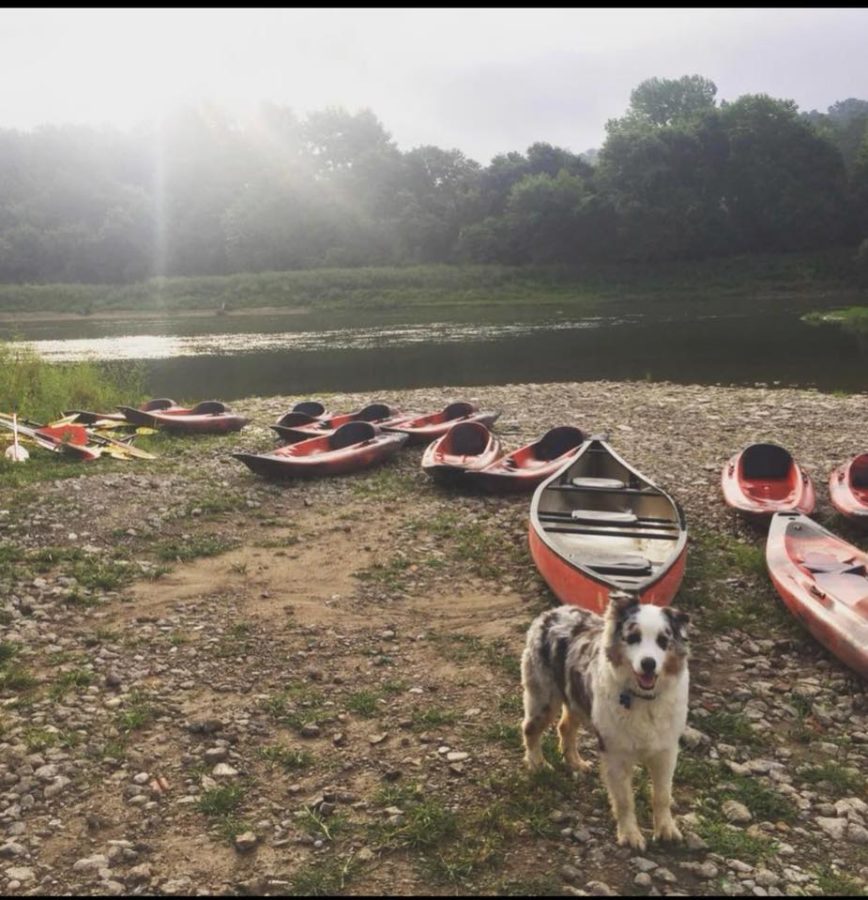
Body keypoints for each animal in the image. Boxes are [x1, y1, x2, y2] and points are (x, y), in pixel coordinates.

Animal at [524, 592, 692, 852]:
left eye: (663, 641)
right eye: (633, 637)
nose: (649, 664)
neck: (642, 699)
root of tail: (550, 613)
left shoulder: (665, 751)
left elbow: (662, 795)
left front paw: (666, 830)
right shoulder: (615, 754)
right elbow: (624, 800)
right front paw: (630, 835)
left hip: (577, 700)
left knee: (565, 727)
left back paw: (576, 762)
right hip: (544, 699)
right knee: (530, 729)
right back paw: (538, 764)